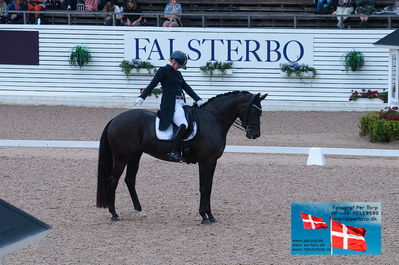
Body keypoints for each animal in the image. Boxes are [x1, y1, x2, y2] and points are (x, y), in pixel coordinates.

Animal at [95, 91, 268, 223]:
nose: (255, 135)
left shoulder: (212, 161)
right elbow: (204, 187)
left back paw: (140, 211)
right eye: (256, 112)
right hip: (122, 157)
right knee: (113, 180)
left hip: (135, 156)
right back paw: (114, 214)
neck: (213, 120)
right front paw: (205, 216)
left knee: (130, 180)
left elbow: (209, 187)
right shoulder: (206, 161)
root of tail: (115, 119)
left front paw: (210, 215)